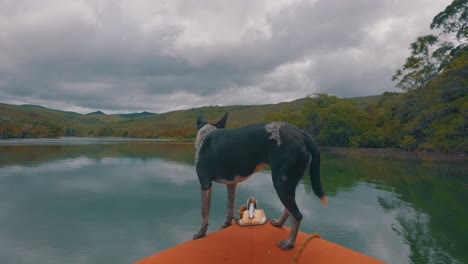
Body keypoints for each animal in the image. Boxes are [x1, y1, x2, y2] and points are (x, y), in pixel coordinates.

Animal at [192, 113, 328, 250]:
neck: (206, 134)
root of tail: (301, 133)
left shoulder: (205, 184)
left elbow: (204, 213)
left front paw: (201, 233)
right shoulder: (231, 184)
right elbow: (230, 207)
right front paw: (227, 224)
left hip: (281, 183)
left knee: (296, 215)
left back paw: (289, 243)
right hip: (289, 184)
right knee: (288, 210)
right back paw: (279, 223)